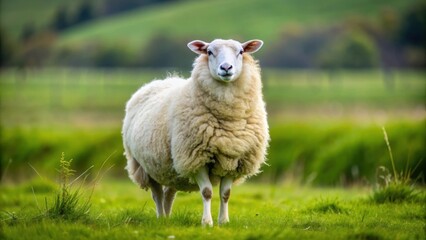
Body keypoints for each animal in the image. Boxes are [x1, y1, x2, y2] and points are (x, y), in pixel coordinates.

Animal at [122, 38, 270, 226]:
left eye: (241, 52)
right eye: (209, 52)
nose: (226, 68)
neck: (229, 118)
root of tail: (159, 81)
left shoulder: (234, 160)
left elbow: (225, 194)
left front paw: (224, 222)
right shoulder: (196, 158)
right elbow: (207, 192)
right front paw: (207, 223)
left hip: (172, 168)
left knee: (169, 194)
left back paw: (168, 218)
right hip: (146, 166)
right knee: (157, 195)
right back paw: (161, 218)